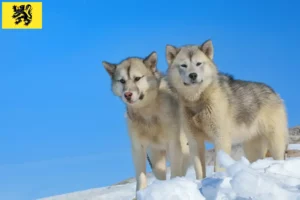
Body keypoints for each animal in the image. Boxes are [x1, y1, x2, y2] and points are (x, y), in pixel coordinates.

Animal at [102, 51, 189, 197]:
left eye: (137, 78)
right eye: (122, 81)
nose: (127, 94)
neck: (148, 113)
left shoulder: (174, 144)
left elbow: (177, 169)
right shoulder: (138, 148)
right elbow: (142, 176)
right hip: (155, 157)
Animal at [165, 38, 290, 178]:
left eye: (198, 63)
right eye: (183, 65)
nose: (193, 75)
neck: (197, 102)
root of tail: (274, 92)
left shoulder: (221, 138)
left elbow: (218, 166)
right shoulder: (194, 142)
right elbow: (199, 170)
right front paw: (201, 181)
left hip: (276, 144)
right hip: (252, 149)